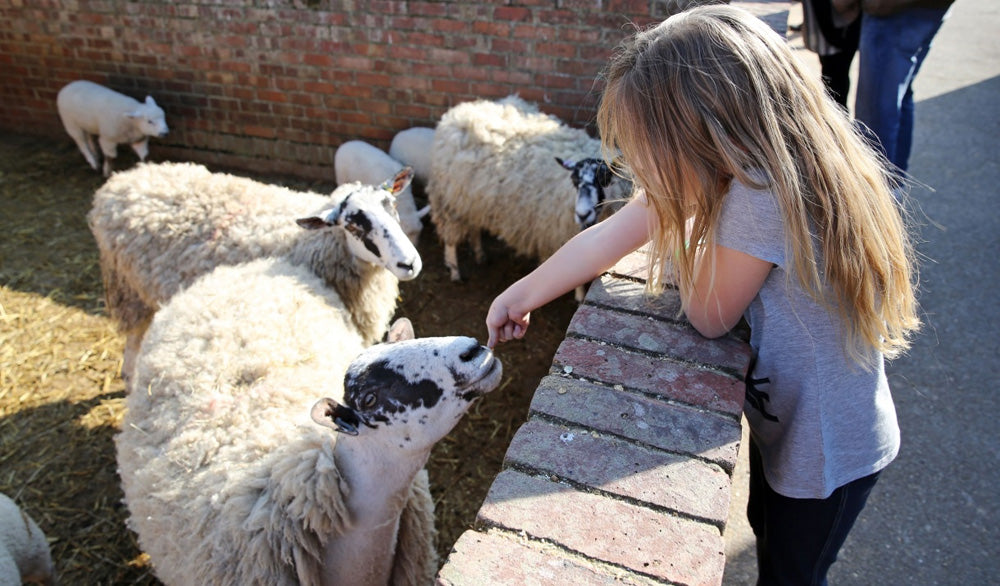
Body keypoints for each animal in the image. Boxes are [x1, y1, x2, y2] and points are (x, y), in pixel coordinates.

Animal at [88, 161, 421, 385]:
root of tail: (124, 177)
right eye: (352, 226)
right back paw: (128, 375)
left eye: (392, 206)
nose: (409, 264)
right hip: (127, 286)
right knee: (133, 336)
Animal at [425, 95, 631, 296]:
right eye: (573, 180)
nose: (582, 214)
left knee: (474, 226)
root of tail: (458, 112)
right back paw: (454, 271)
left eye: (604, 179)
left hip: (472, 199)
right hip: (449, 200)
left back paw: (480, 255)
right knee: (450, 238)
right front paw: (579, 297)